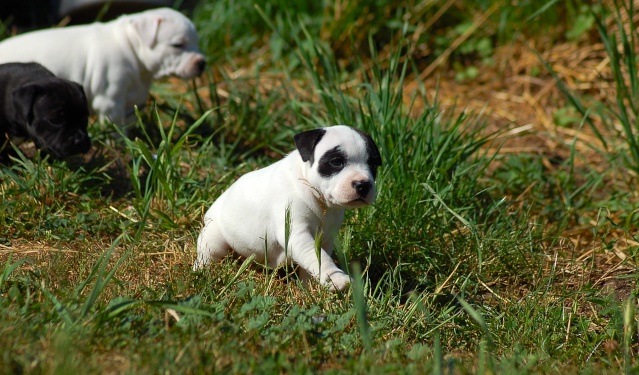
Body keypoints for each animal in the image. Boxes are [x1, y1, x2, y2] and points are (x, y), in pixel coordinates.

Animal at [0, 7, 205, 125]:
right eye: (177, 45)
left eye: (197, 42)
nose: (202, 63)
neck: (130, 45)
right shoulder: (110, 102)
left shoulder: (131, 102)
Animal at [195, 125, 382, 290]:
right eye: (336, 162)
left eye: (373, 164)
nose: (363, 185)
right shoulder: (296, 232)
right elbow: (319, 257)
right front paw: (337, 279)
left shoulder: (326, 237)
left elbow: (317, 258)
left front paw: (310, 287)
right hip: (214, 237)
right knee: (208, 254)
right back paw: (203, 272)